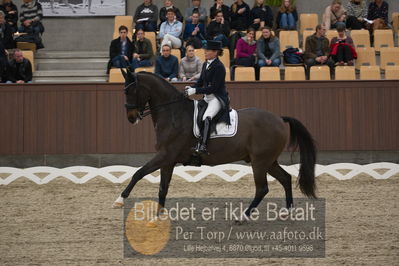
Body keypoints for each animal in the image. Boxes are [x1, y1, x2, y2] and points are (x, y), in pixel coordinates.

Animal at [113, 70, 318, 218]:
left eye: (130, 91)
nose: (131, 118)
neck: (173, 113)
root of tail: (279, 119)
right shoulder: (168, 160)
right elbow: (163, 187)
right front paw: (158, 216)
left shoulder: (165, 155)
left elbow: (138, 173)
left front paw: (120, 199)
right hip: (268, 160)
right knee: (285, 178)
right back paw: (287, 211)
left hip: (260, 162)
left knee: (262, 188)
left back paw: (243, 216)